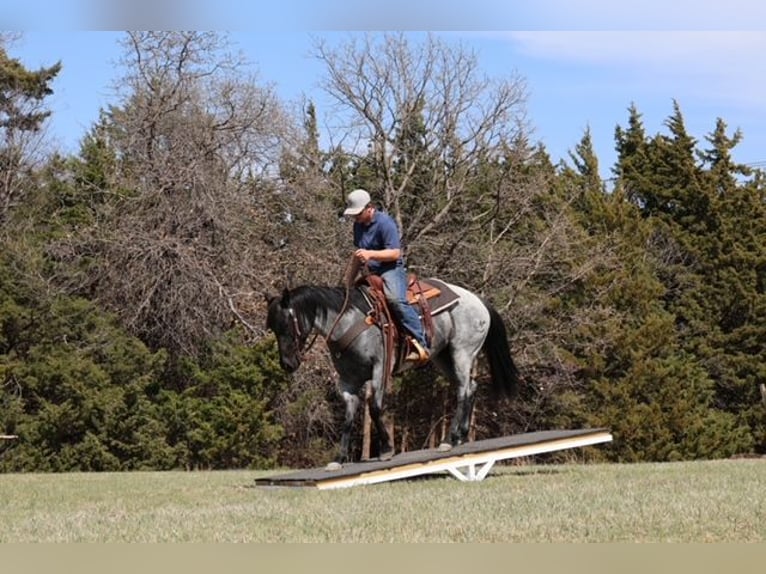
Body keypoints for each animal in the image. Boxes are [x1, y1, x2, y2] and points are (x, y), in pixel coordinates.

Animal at [265, 279, 520, 470]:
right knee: (470, 387)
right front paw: (339, 459)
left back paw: (449, 439)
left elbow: (375, 407)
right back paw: (461, 435)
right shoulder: (348, 381)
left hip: (462, 353)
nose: (287, 364)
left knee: (463, 390)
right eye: (272, 328)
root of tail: (478, 301)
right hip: (443, 358)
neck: (348, 321)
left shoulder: (380, 368)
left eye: (286, 324)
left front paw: (387, 449)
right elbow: (348, 417)